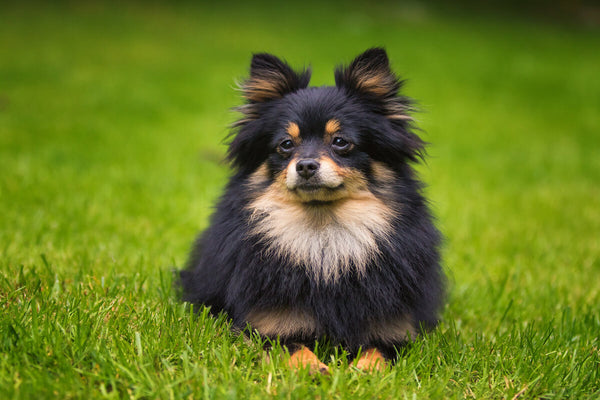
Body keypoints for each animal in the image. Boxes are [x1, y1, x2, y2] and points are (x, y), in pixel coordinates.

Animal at [179, 48, 446, 374]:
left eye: (341, 142)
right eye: (286, 144)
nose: (305, 165)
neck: (323, 231)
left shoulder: (393, 329)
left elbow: (376, 354)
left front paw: (361, 373)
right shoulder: (267, 326)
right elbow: (295, 349)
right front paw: (315, 371)